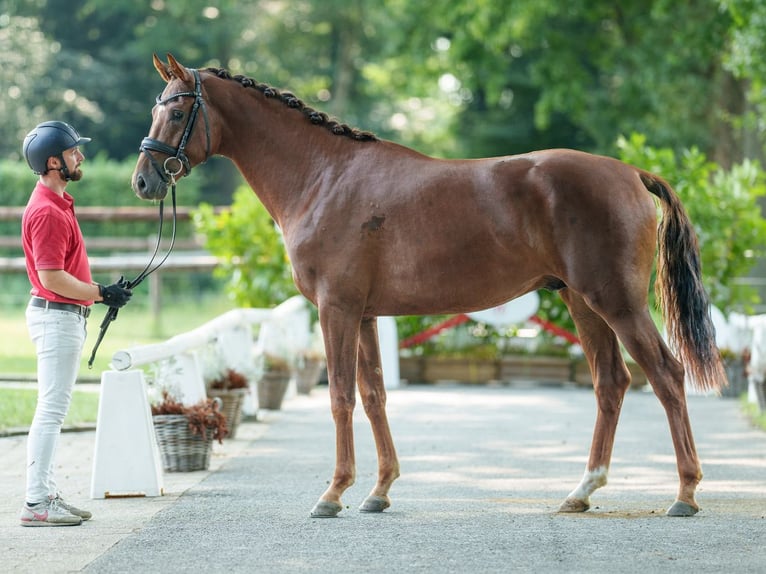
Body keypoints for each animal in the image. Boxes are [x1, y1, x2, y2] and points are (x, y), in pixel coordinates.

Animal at [132, 55, 728, 520]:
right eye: (156, 108)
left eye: (178, 111)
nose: (144, 180)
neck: (324, 176)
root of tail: (631, 173)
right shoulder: (364, 314)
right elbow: (374, 394)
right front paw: (378, 491)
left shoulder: (336, 309)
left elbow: (341, 395)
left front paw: (333, 494)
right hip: (581, 302)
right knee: (611, 382)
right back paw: (582, 491)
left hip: (618, 303)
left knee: (666, 375)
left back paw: (685, 494)